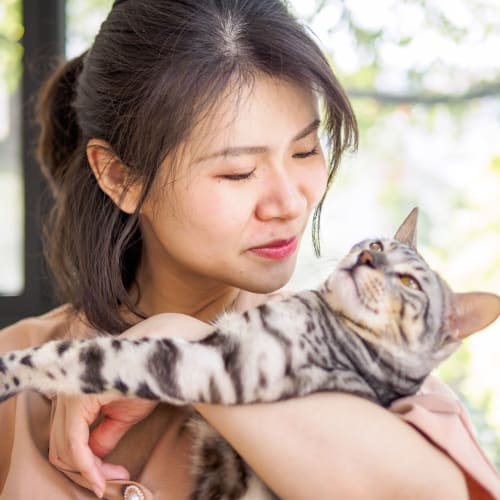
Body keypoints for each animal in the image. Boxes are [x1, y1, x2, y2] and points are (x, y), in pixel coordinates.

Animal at [0, 208, 500, 500]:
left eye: (410, 283)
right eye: (377, 246)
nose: (368, 260)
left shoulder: (210, 366)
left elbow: (83, 356)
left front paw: (12, 371)